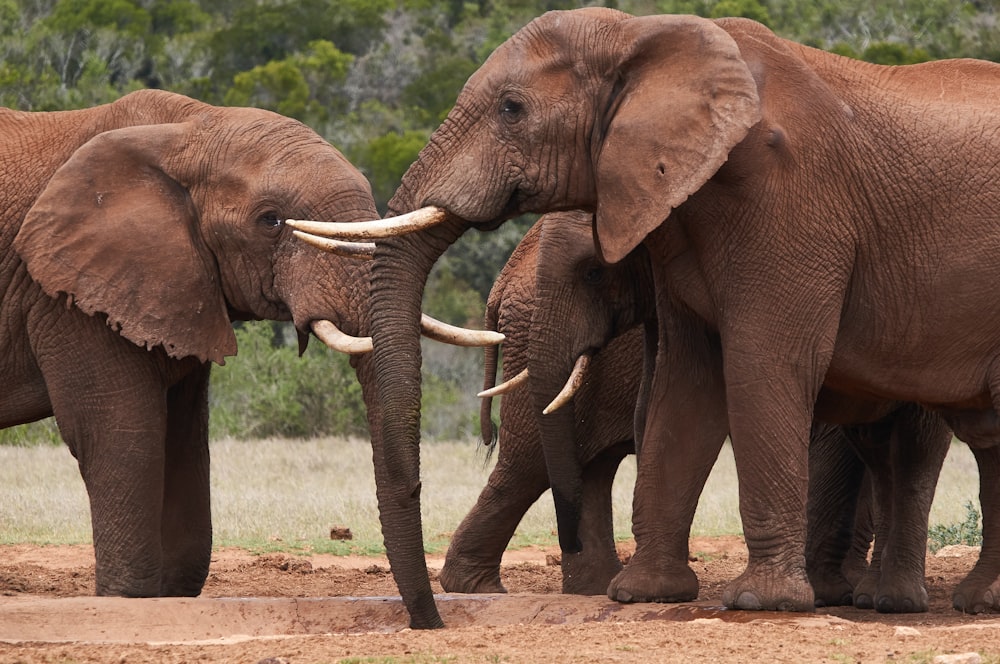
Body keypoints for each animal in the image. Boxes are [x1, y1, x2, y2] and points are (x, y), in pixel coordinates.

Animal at [0, 85, 496, 600]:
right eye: (271, 221)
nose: (428, 617)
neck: (188, 129)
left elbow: (185, 445)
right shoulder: (68, 296)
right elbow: (121, 440)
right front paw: (126, 601)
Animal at [288, 7, 1000, 624]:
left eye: (512, 109)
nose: (429, 626)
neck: (646, 34)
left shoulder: (792, 203)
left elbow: (764, 368)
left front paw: (761, 603)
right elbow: (687, 386)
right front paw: (645, 594)